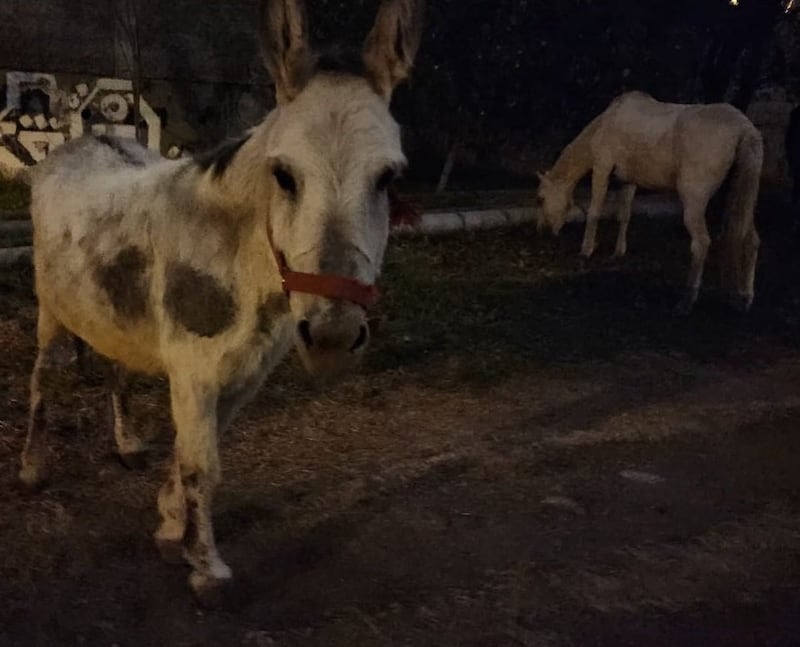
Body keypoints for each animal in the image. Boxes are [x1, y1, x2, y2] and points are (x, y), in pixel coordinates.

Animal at [20, 0, 424, 604]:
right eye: (284, 175)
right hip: (51, 313)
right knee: (41, 380)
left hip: (115, 314)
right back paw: (31, 468)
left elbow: (197, 455)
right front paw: (205, 567)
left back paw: (126, 443)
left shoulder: (244, 373)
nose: (331, 338)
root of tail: (84, 141)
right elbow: (202, 467)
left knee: (117, 371)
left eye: (388, 178)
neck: (243, 262)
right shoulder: (195, 372)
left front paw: (170, 527)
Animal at [536, 91, 764, 314]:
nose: (543, 231)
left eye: (541, 199)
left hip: (694, 200)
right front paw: (618, 252)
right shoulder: (628, 181)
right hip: (739, 198)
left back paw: (686, 300)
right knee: (750, 239)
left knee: (701, 243)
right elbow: (624, 215)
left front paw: (586, 251)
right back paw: (745, 297)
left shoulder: (602, 167)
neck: (608, 121)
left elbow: (595, 211)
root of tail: (744, 128)